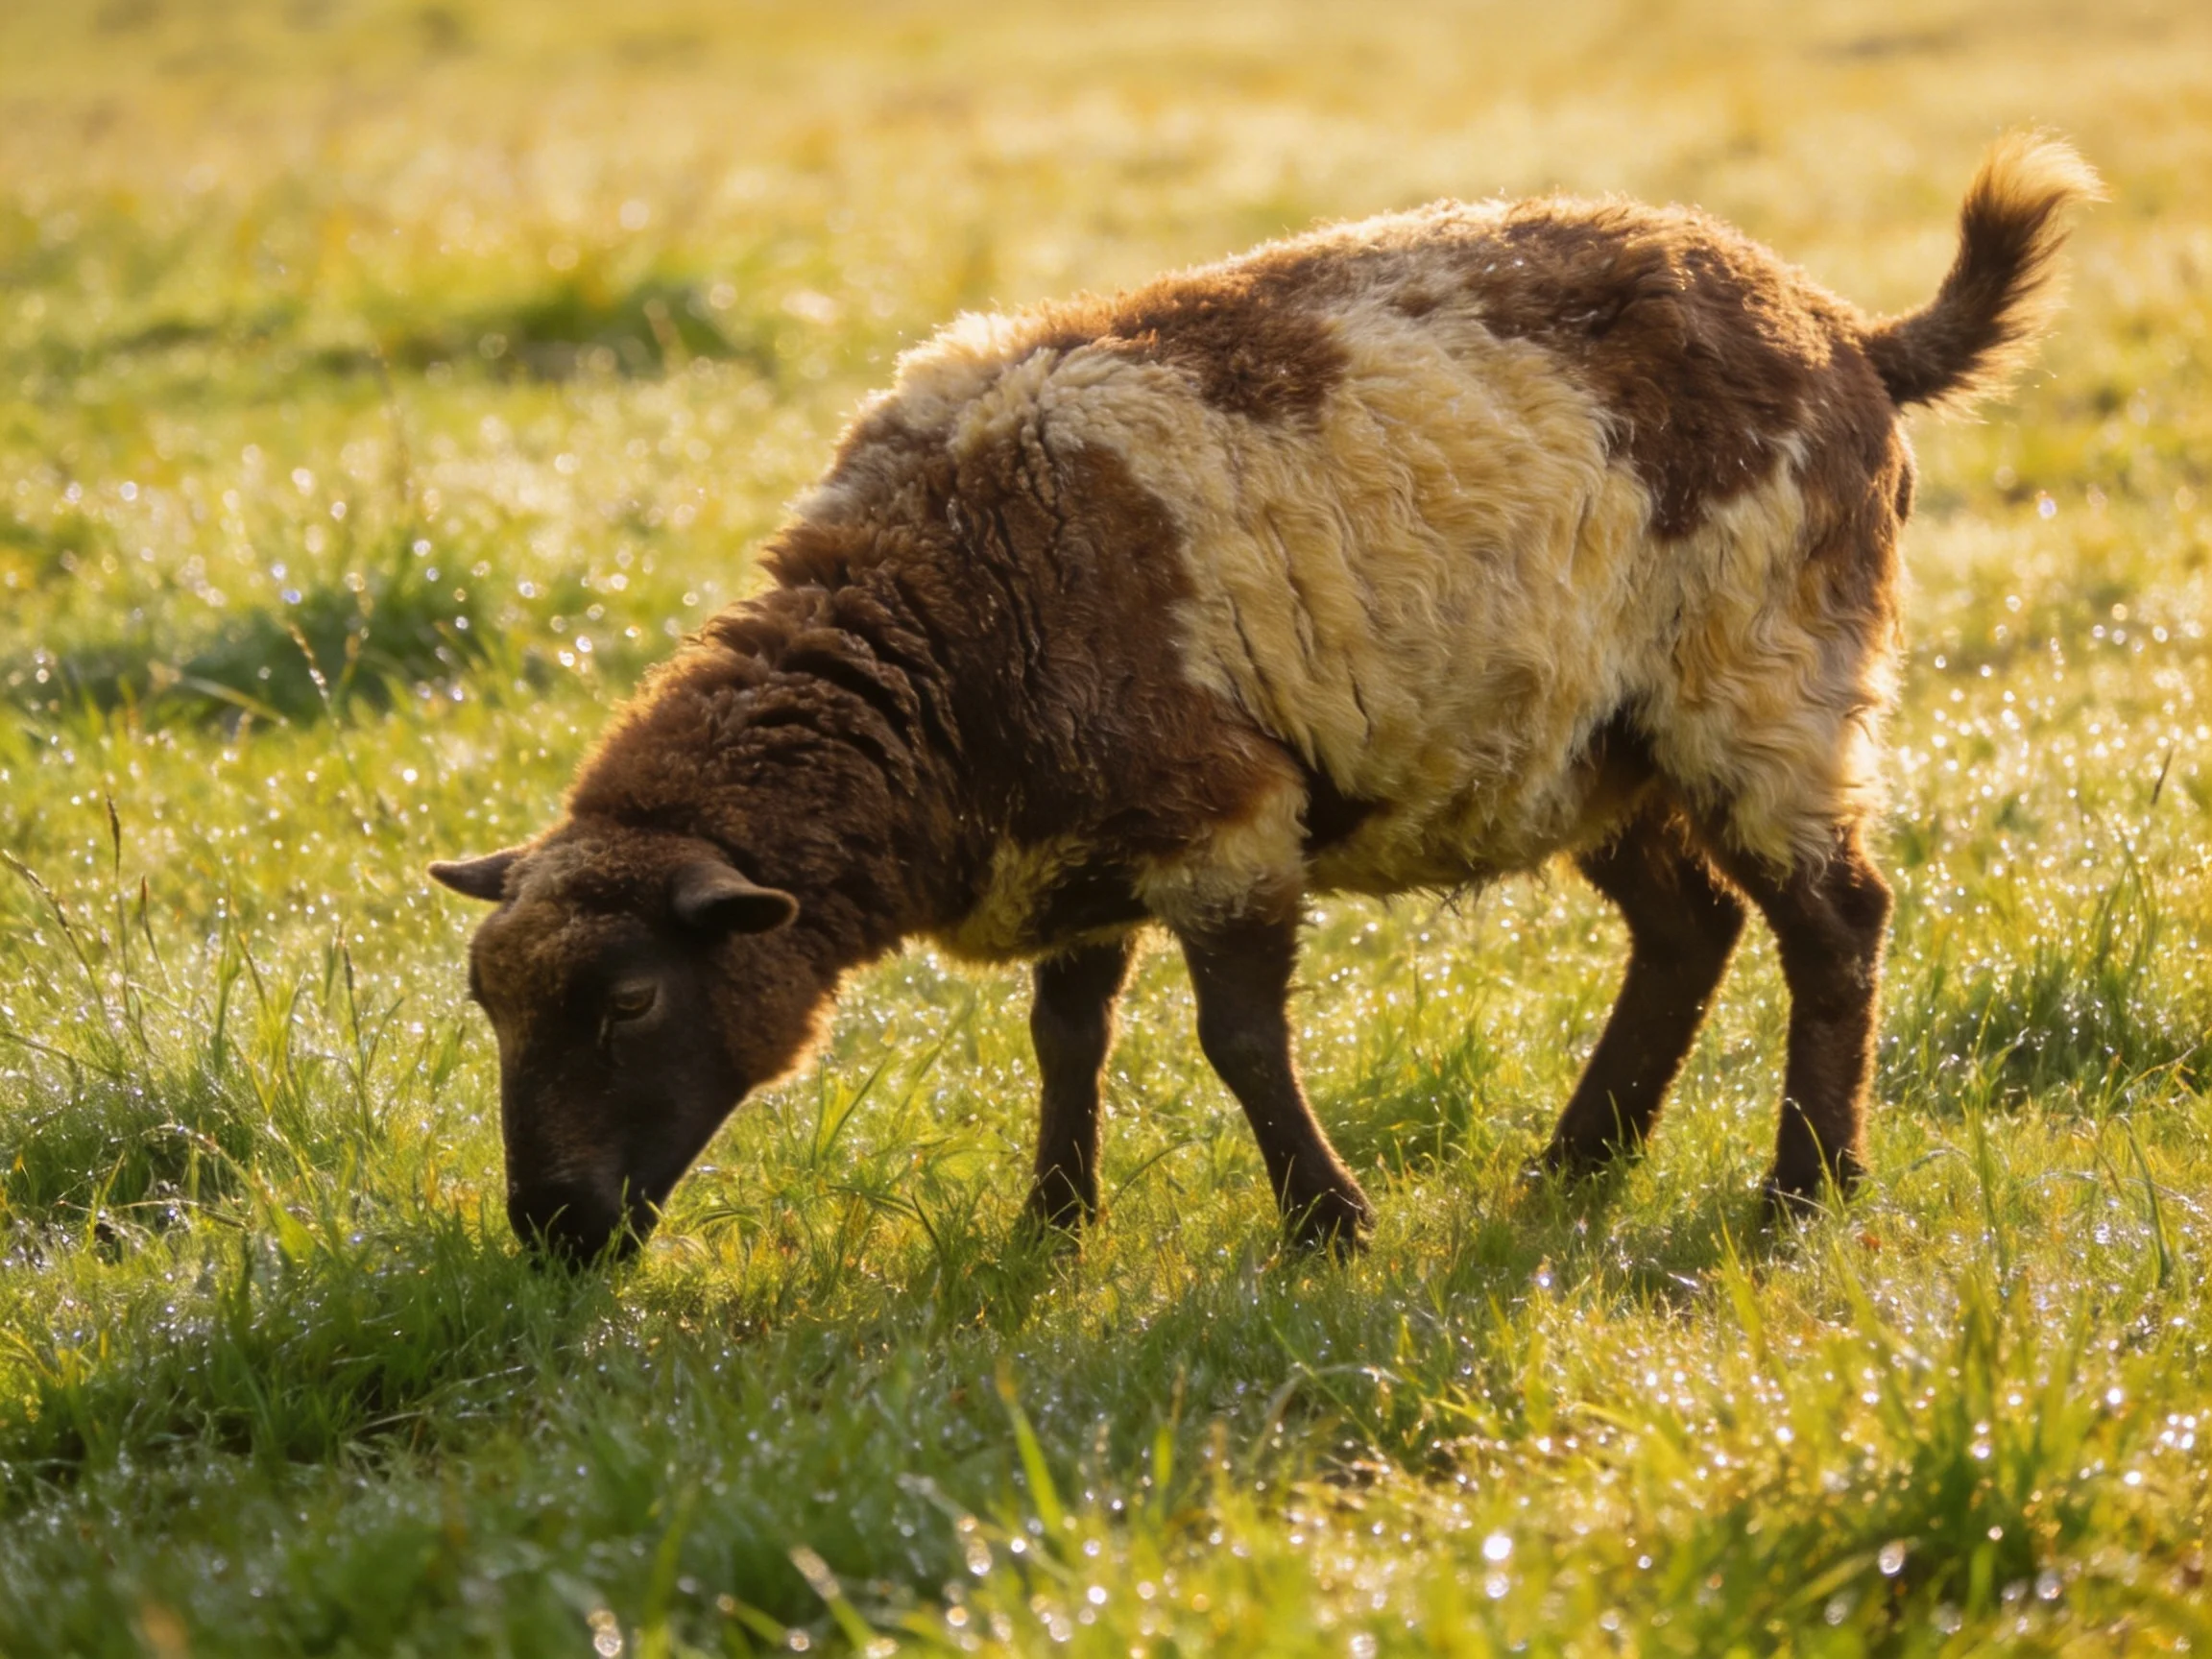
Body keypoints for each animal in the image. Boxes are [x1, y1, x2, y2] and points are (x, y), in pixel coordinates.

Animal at [433, 134, 2099, 1260]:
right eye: (488, 1004)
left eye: (632, 1000)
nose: (550, 1235)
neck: (932, 650)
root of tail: (1846, 333)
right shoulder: (1077, 852)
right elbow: (1069, 1037)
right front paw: (1053, 1223)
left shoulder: (1220, 818)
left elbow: (1237, 1044)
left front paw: (1327, 1225)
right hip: (1588, 742)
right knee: (1687, 932)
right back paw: (1575, 1169)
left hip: (1762, 682)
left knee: (1835, 925)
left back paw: (1803, 1188)